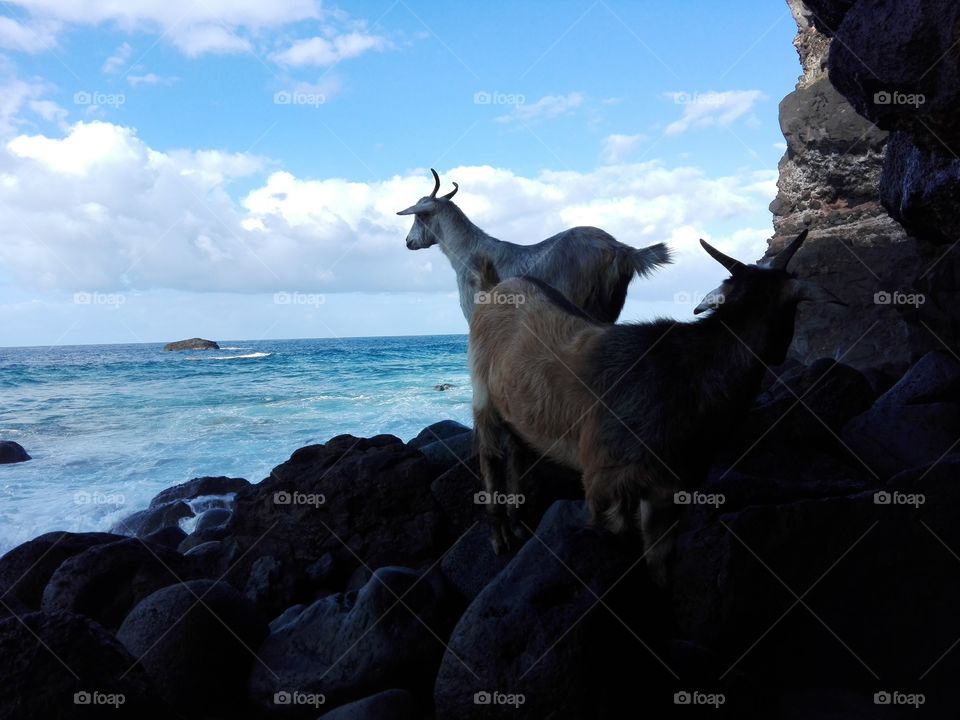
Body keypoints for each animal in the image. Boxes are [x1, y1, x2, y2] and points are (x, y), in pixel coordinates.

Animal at [468, 230, 840, 585]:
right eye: (792, 311)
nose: (779, 354)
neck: (686, 371)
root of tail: (494, 287)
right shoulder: (604, 480)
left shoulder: (669, 489)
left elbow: (659, 563)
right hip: (482, 391)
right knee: (490, 452)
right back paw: (500, 534)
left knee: (516, 449)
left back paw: (518, 520)